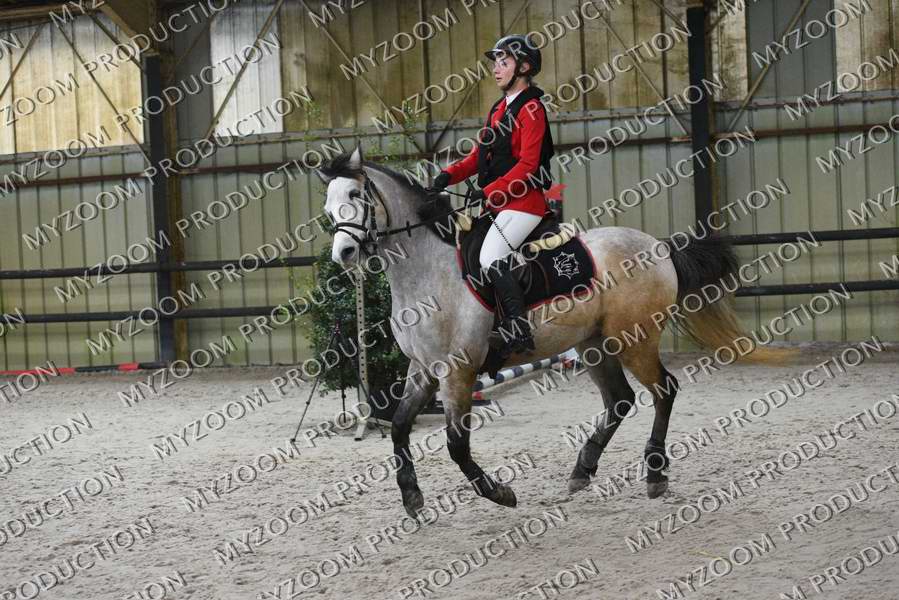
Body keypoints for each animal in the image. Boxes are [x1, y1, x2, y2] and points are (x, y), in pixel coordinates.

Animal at [316, 145, 784, 517]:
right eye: (327, 204)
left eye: (355, 195)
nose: (344, 253)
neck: (427, 272)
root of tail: (658, 246)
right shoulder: (423, 369)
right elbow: (398, 426)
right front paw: (412, 497)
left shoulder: (458, 372)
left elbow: (456, 444)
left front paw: (499, 493)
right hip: (594, 346)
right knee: (620, 401)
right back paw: (583, 470)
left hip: (634, 340)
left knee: (663, 390)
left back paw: (654, 474)